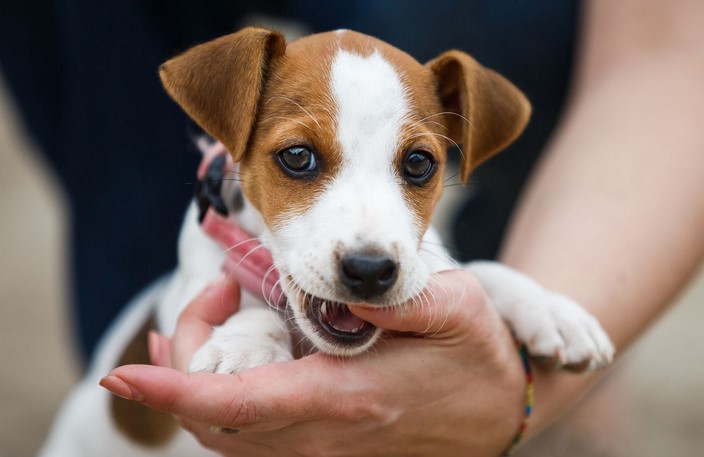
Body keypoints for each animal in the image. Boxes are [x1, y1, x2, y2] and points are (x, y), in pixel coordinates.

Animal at [100, 0, 704, 452]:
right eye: (297, 157)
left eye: (418, 164)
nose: (370, 271)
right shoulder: (189, 291)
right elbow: (246, 300)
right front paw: (244, 346)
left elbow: (479, 269)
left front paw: (551, 309)